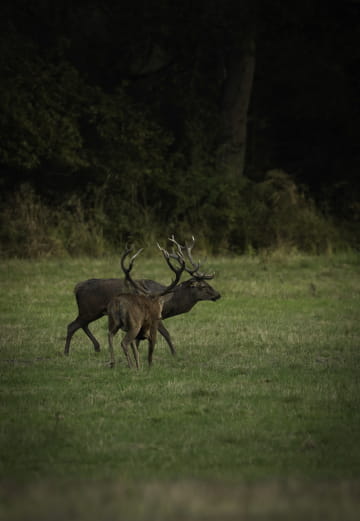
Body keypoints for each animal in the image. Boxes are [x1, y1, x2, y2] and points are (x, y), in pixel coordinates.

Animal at [64, 235, 221, 354]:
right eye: (202, 286)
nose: (218, 294)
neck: (168, 303)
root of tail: (77, 288)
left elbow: (139, 338)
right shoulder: (156, 316)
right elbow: (166, 334)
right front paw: (174, 354)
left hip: (91, 311)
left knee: (81, 325)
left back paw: (96, 347)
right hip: (89, 309)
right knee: (72, 325)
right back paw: (67, 352)